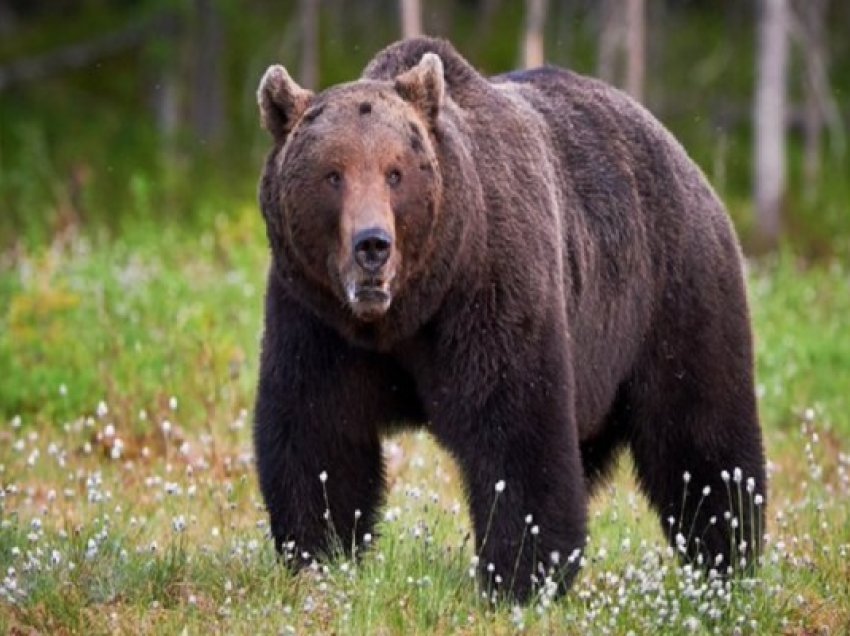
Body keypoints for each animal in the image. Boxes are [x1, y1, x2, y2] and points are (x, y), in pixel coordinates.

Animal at [253, 37, 768, 600]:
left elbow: (516, 430)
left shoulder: (491, 289)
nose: (372, 245)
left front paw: (518, 575)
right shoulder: (317, 316)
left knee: (700, 434)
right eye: (333, 174)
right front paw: (319, 551)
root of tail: (684, 157)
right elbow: (318, 432)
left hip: (673, 294)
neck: (408, 310)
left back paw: (729, 557)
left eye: (395, 172)